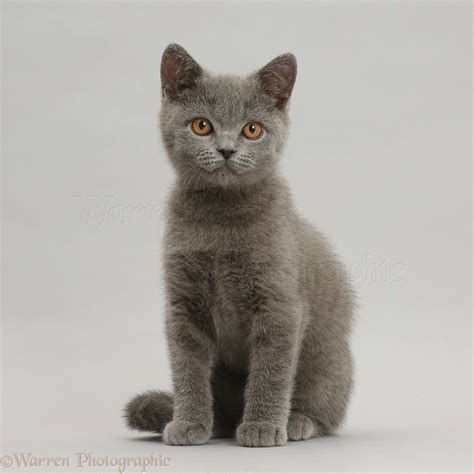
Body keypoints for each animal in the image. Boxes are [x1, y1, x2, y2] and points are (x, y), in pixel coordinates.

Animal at [124, 42, 354, 446]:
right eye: (202, 125)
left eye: (252, 129)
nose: (228, 150)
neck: (221, 216)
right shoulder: (183, 305)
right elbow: (187, 370)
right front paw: (189, 423)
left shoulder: (280, 306)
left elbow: (271, 372)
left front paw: (263, 426)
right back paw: (216, 424)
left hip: (326, 361)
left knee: (325, 407)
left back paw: (297, 422)